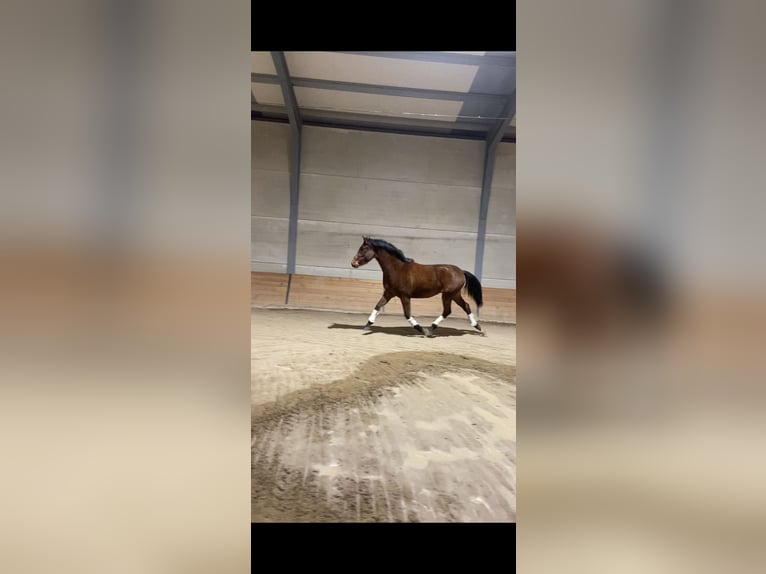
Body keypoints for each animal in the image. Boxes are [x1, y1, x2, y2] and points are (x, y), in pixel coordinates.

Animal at [350, 237, 484, 338]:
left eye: (363, 249)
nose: (353, 263)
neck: (397, 269)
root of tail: (461, 271)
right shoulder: (389, 293)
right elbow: (377, 306)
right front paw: (367, 325)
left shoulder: (404, 296)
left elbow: (407, 314)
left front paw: (421, 329)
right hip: (454, 295)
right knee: (463, 306)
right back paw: (477, 326)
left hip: (448, 294)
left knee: (449, 310)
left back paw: (429, 329)